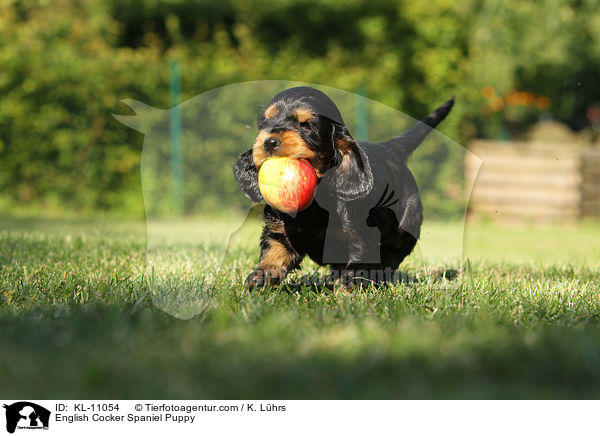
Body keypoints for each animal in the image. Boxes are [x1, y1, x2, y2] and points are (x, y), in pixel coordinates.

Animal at [232, 86, 452, 288]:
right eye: (265, 122)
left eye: (306, 125)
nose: (269, 142)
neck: (316, 200)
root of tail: (389, 148)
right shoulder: (280, 230)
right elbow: (274, 253)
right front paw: (260, 279)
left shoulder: (359, 237)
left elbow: (354, 269)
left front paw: (344, 295)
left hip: (406, 224)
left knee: (392, 253)